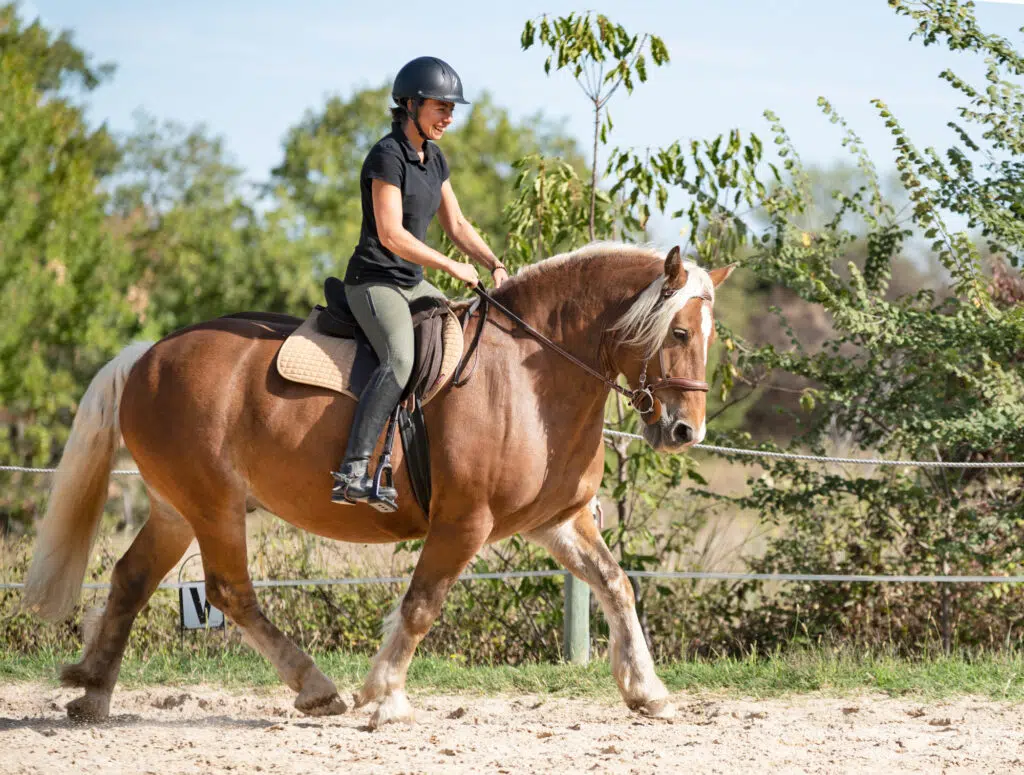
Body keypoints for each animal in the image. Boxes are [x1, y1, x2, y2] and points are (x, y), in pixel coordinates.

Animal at [24, 242, 733, 728]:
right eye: (677, 331)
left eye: (709, 336)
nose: (685, 430)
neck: (529, 379)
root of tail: (146, 355)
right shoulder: (464, 524)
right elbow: (421, 604)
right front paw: (385, 695)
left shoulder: (556, 521)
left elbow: (616, 584)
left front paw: (647, 690)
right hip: (215, 505)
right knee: (229, 592)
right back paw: (315, 688)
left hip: (177, 508)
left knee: (131, 578)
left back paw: (92, 691)